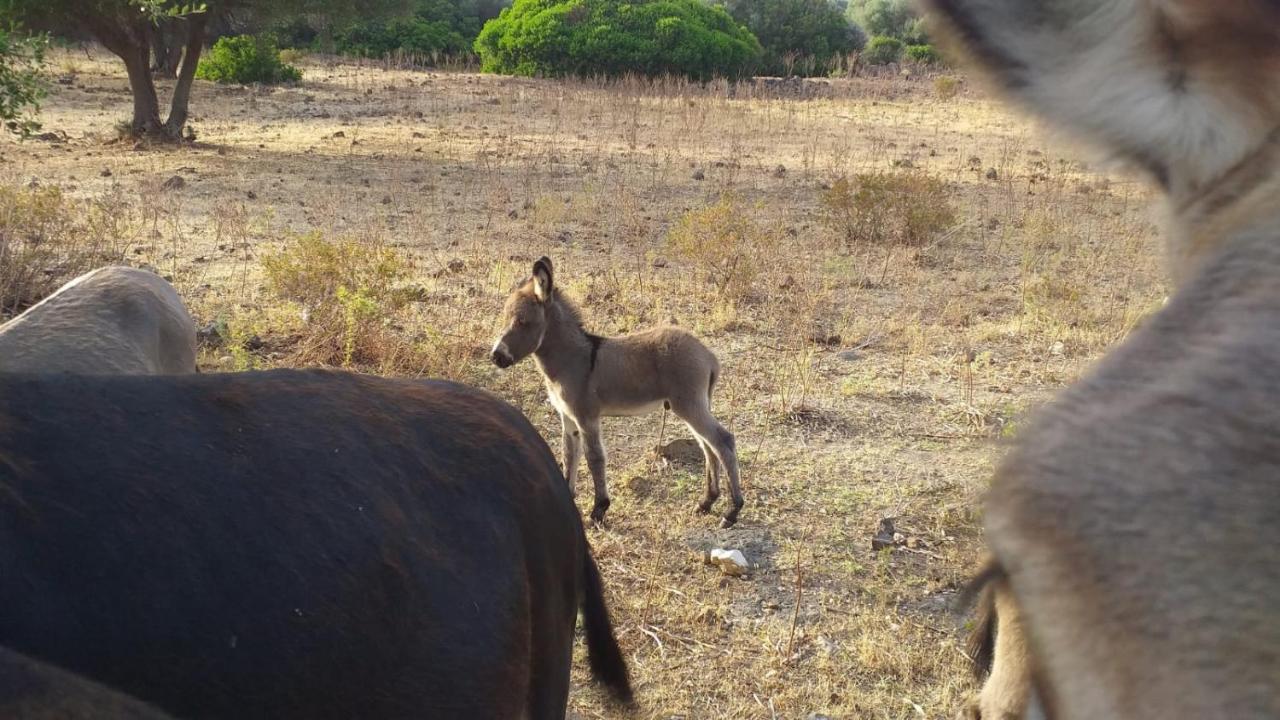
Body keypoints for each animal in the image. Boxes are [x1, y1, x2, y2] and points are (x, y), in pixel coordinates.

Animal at [494, 254, 747, 525]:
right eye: (506, 318)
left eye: (522, 322)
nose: (496, 356)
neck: (573, 358)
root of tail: (708, 355)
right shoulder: (568, 418)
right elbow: (569, 456)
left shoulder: (586, 417)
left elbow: (595, 458)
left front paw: (599, 509)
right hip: (693, 405)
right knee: (708, 446)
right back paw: (707, 502)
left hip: (689, 404)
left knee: (722, 441)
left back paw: (732, 511)